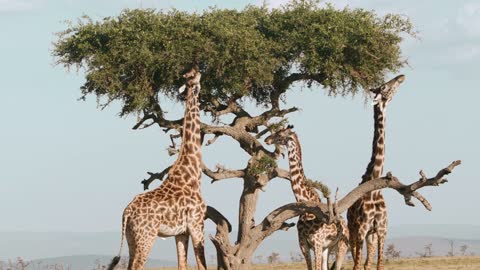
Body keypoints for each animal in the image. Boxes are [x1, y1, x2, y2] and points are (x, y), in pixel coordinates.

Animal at [108, 66, 207, 270]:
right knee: (137, 266)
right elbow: (203, 265)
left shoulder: (181, 232)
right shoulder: (197, 224)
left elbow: (182, 265)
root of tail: (126, 212)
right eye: (193, 77)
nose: (199, 69)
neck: (193, 173)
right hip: (146, 237)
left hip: (131, 238)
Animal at [264, 126, 346, 270]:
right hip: (328, 248)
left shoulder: (317, 242)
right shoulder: (303, 244)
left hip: (342, 246)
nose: (266, 140)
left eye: (279, 134)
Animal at [346, 74, 406, 270]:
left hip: (370, 236)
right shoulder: (361, 229)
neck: (375, 190)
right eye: (385, 87)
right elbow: (356, 266)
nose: (401, 77)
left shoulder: (381, 230)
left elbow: (378, 265)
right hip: (353, 231)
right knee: (355, 261)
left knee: (367, 263)